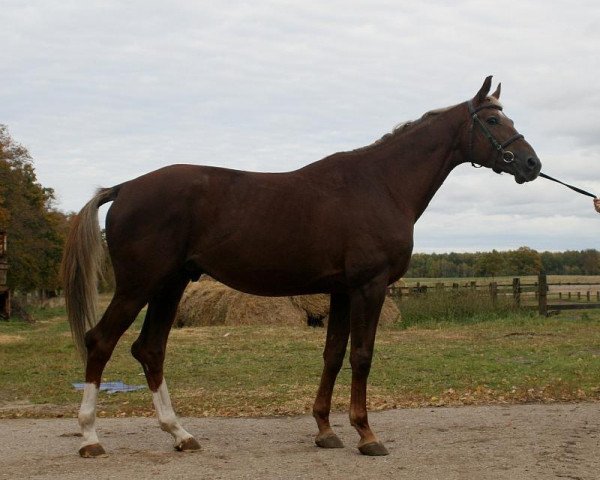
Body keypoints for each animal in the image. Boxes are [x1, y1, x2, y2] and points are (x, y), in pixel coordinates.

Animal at [63, 76, 540, 458]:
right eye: (493, 121)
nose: (532, 163)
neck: (381, 184)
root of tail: (124, 188)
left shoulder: (341, 291)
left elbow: (333, 354)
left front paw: (326, 430)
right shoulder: (369, 286)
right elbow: (362, 355)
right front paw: (367, 435)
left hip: (170, 285)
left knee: (150, 349)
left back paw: (180, 434)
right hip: (138, 286)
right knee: (100, 342)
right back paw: (91, 439)